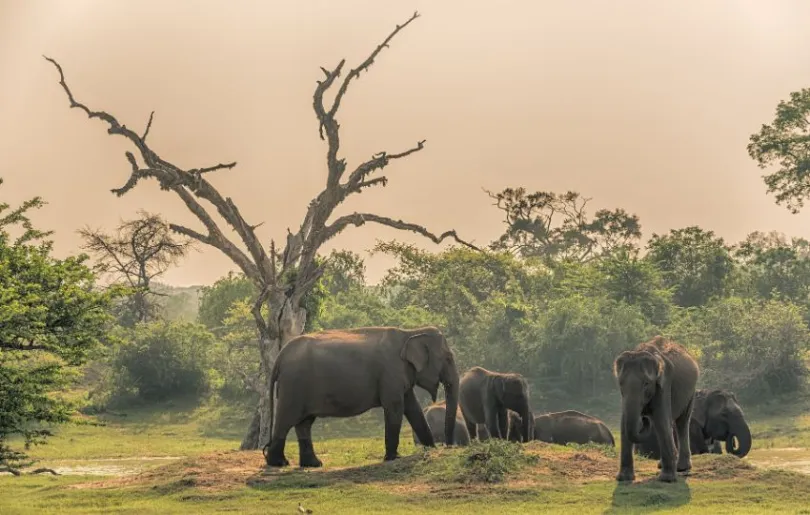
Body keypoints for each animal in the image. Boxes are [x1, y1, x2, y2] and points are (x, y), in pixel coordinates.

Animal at [262, 328, 458, 470]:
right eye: (448, 358)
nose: (447, 446)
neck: (410, 332)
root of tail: (280, 356)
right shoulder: (391, 373)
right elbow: (395, 407)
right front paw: (393, 458)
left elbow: (413, 408)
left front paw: (431, 449)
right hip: (293, 386)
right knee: (286, 420)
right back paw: (279, 463)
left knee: (304, 423)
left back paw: (313, 465)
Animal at [608, 336, 696, 482]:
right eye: (620, 383)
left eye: (646, 384)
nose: (644, 418)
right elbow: (624, 423)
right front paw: (623, 478)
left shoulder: (664, 383)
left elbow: (661, 419)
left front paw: (666, 479)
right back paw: (664, 464)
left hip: (691, 392)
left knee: (682, 422)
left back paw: (681, 468)